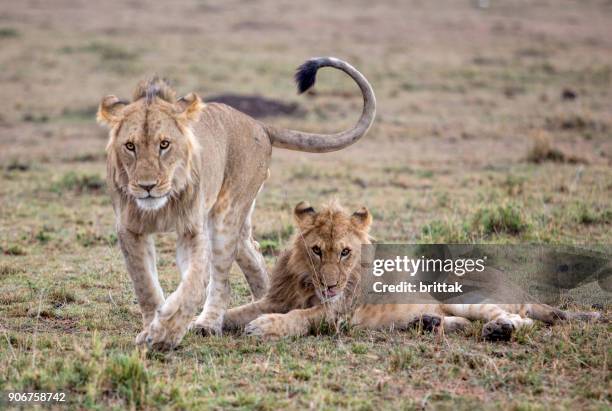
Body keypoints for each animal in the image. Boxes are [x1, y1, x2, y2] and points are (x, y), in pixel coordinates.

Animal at [97, 56, 376, 350]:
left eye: (164, 144)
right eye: (130, 146)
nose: (147, 186)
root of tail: (259, 125)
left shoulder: (193, 230)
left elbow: (193, 285)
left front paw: (165, 332)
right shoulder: (129, 230)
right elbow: (145, 285)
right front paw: (152, 326)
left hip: (225, 216)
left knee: (221, 280)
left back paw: (208, 324)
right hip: (237, 224)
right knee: (253, 253)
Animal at [224, 202, 596, 342]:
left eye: (345, 252)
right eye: (316, 250)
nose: (330, 286)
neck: (307, 281)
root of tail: (518, 285)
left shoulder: (340, 312)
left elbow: (302, 317)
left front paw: (266, 327)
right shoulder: (276, 298)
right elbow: (235, 312)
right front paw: (214, 322)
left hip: (461, 292)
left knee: (521, 319)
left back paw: (499, 330)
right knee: (463, 323)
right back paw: (428, 322)